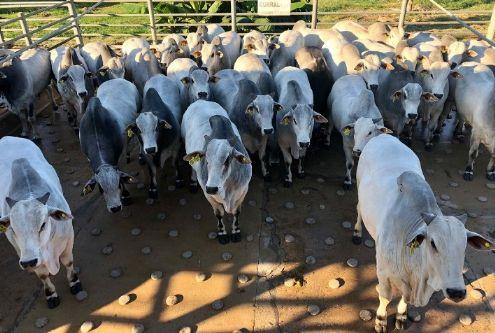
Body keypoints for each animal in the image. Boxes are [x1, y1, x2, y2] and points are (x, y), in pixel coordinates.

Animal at [358, 134, 494, 330]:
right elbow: (385, 298)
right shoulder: (383, 273)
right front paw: (381, 320)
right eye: (433, 243)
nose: (456, 292)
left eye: (464, 247)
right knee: (358, 210)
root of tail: (383, 135)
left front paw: (401, 316)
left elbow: (403, 300)